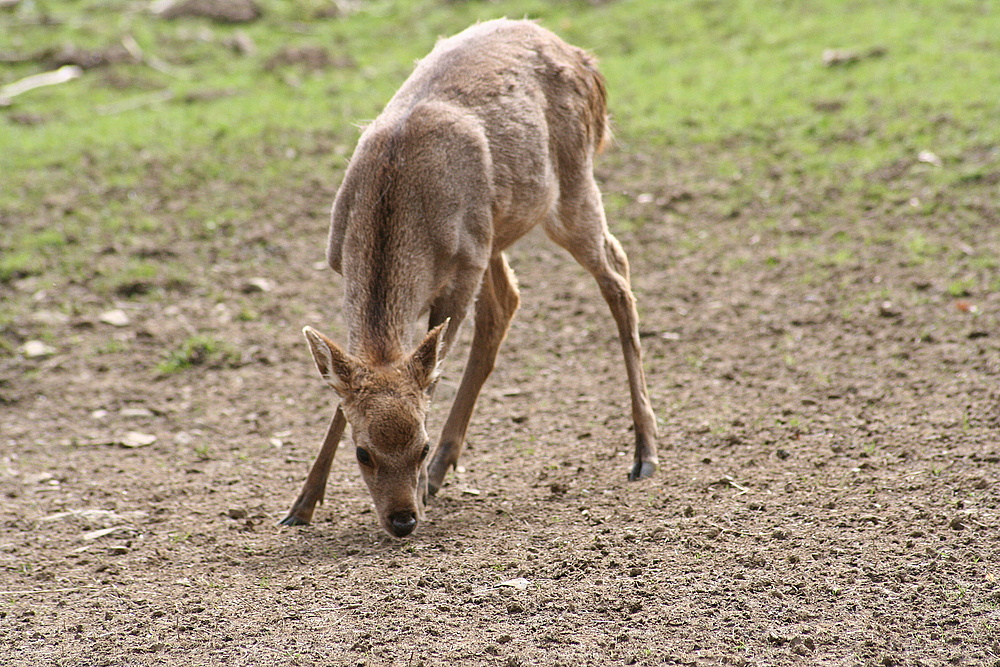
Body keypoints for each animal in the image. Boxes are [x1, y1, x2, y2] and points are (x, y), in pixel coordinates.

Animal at [278, 18, 660, 540]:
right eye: (363, 453)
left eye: (418, 445)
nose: (402, 520)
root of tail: (585, 61)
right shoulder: (342, 264)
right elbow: (344, 390)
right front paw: (300, 505)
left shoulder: (460, 276)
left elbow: (433, 376)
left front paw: (422, 485)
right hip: (495, 233)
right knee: (507, 303)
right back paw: (446, 468)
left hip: (569, 187)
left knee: (616, 271)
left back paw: (645, 453)